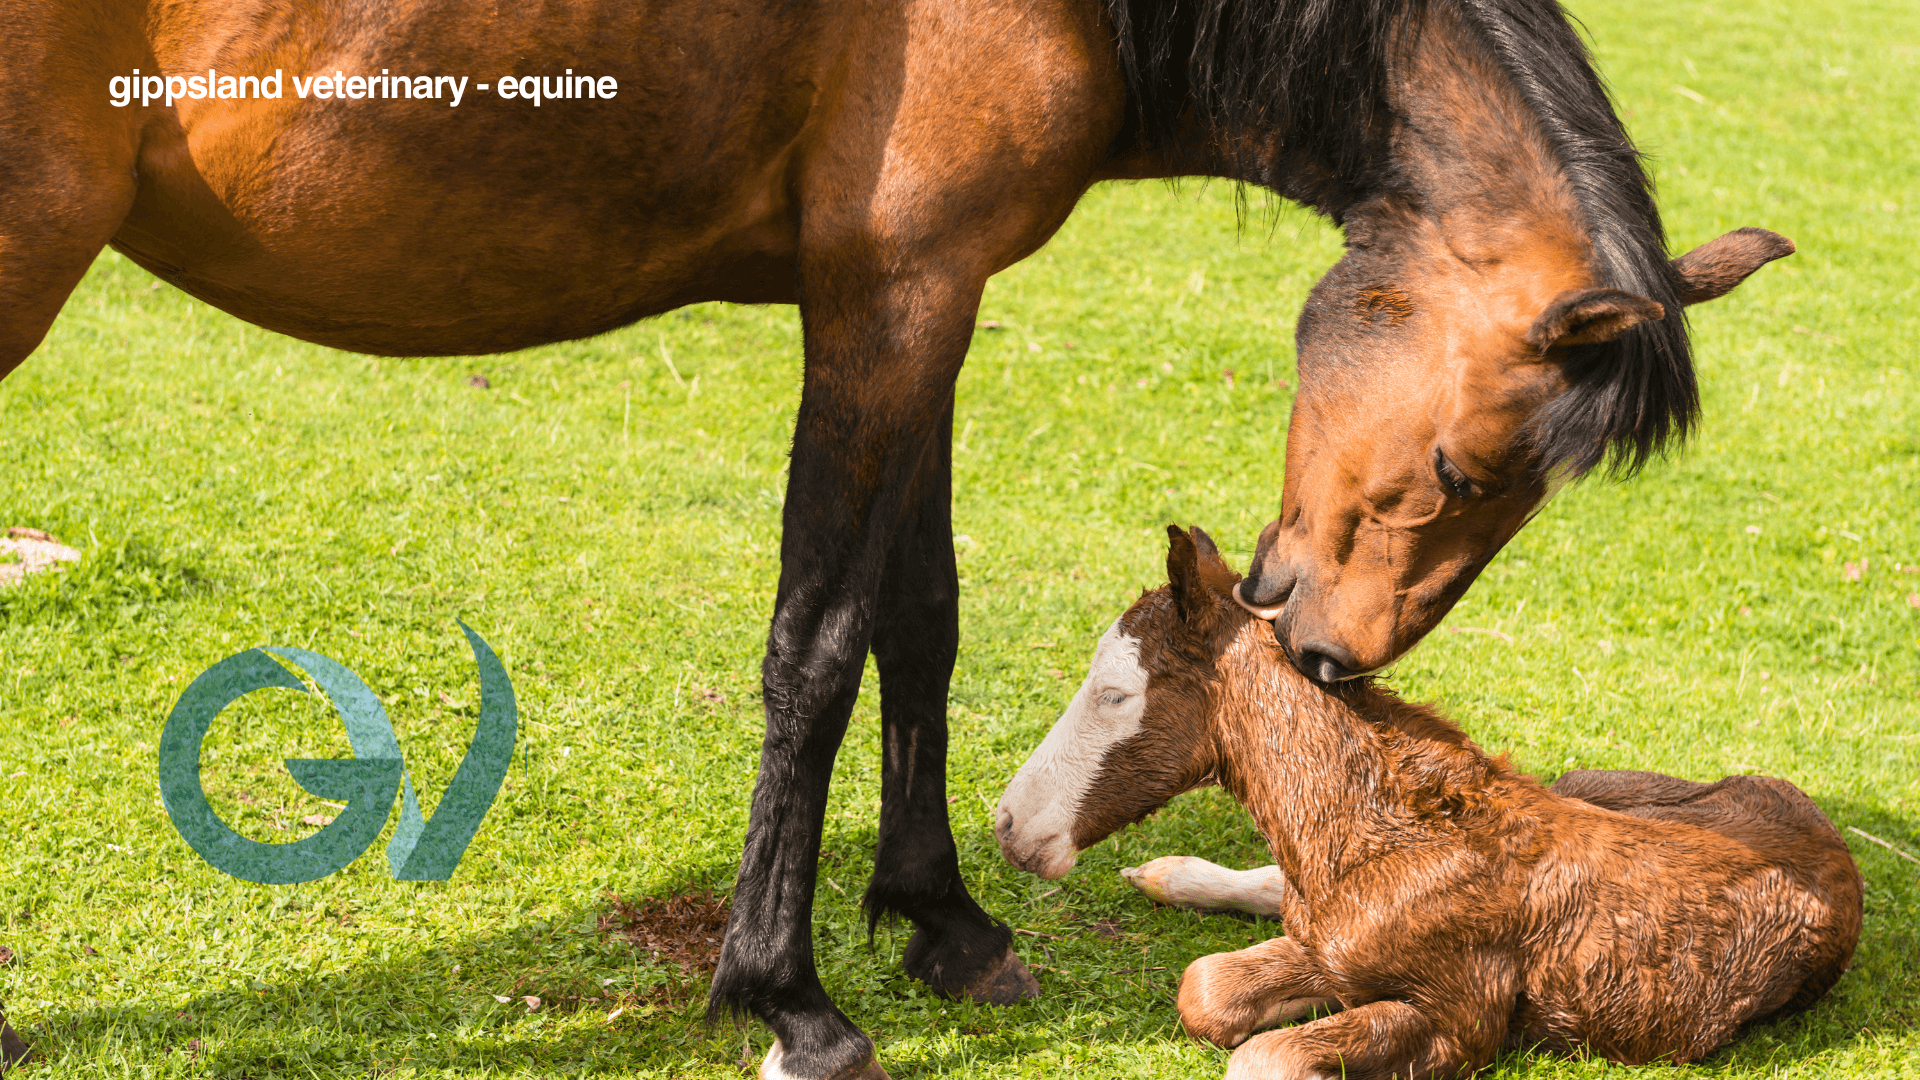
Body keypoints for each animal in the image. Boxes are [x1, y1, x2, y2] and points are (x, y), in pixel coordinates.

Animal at [996, 527, 1863, 1079]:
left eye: (1115, 694)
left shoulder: (1463, 1017)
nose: (1008, 825)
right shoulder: (1329, 944)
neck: (1367, 838)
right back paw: (1170, 873)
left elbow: (1259, 1052)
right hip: (1589, 781)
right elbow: (1207, 988)